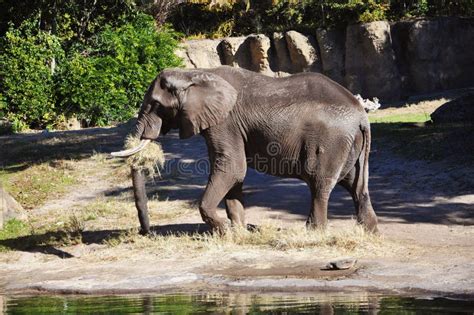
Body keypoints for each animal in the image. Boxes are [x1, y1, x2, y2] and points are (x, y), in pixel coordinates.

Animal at [111, 66, 378, 235]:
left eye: (156, 105)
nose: (146, 232)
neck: (193, 73)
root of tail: (361, 115)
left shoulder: (225, 122)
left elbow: (232, 168)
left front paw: (225, 232)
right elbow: (232, 173)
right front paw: (239, 232)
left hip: (330, 141)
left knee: (319, 183)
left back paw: (313, 233)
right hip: (350, 145)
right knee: (356, 186)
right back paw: (368, 231)